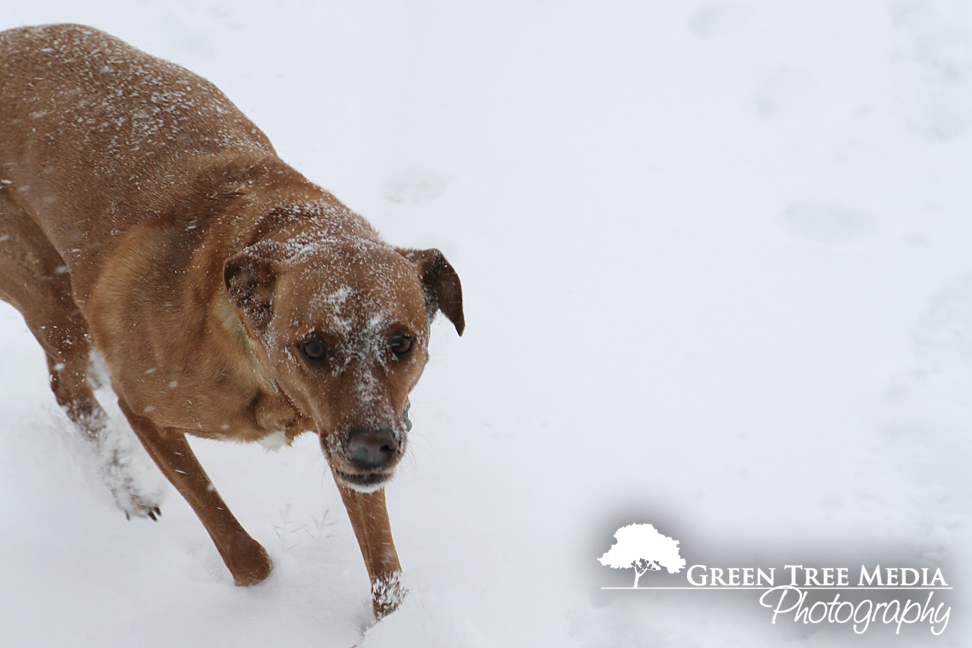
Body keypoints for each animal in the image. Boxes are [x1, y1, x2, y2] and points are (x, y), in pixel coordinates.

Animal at [0, 22, 464, 616]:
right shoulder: (148, 411)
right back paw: (129, 486)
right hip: (45, 287)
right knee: (68, 387)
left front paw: (392, 621)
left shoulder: (347, 431)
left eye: (403, 343)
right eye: (313, 347)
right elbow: (234, 540)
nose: (372, 447)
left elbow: (383, 560)